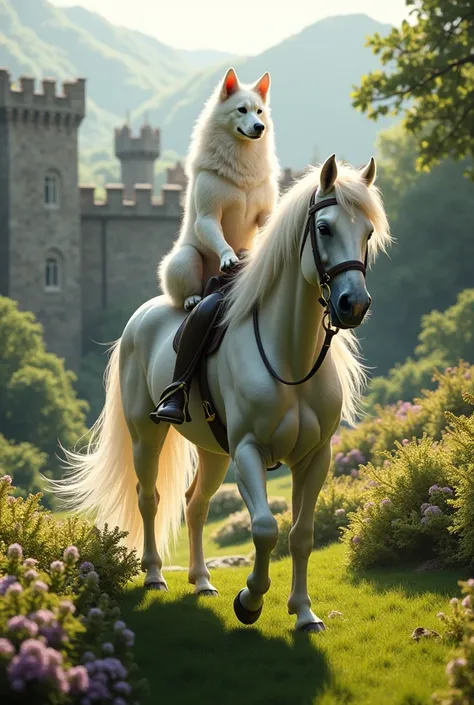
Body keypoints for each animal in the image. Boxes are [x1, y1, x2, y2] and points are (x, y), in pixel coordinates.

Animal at [55, 155, 388, 632]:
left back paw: (202, 581)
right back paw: (155, 575)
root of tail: (141, 317)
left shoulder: (315, 457)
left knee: (195, 506)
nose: (353, 305)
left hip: (213, 451)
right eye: (324, 228)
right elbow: (265, 527)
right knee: (150, 498)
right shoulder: (249, 450)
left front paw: (304, 613)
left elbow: (301, 535)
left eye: (368, 232)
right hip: (146, 437)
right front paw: (250, 600)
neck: (290, 357)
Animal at [157, 67, 280, 310]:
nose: (259, 127)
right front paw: (228, 257)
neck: (242, 160)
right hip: (184, 258)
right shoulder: (208, 216)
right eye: (241, 110)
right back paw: (192, 298)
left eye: (259, 111)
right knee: (184, 288)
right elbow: (217, 235)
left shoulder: (265, 213)